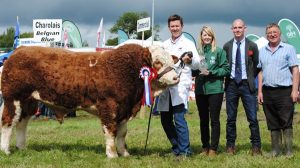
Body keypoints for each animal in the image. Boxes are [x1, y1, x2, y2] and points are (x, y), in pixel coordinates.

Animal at [0, 44, 178, 158]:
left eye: (171, 61)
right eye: (157, 62)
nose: (176, 77)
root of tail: (19, 50)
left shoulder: (124, 108)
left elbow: (122, 133)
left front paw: (125, 154)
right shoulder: (109, 106)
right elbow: (110, 131)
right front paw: (112, 155)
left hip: (28, 101)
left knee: (21, 123)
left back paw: (22, 148)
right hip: (13, 98)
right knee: (8, 122)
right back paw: (6, 150)